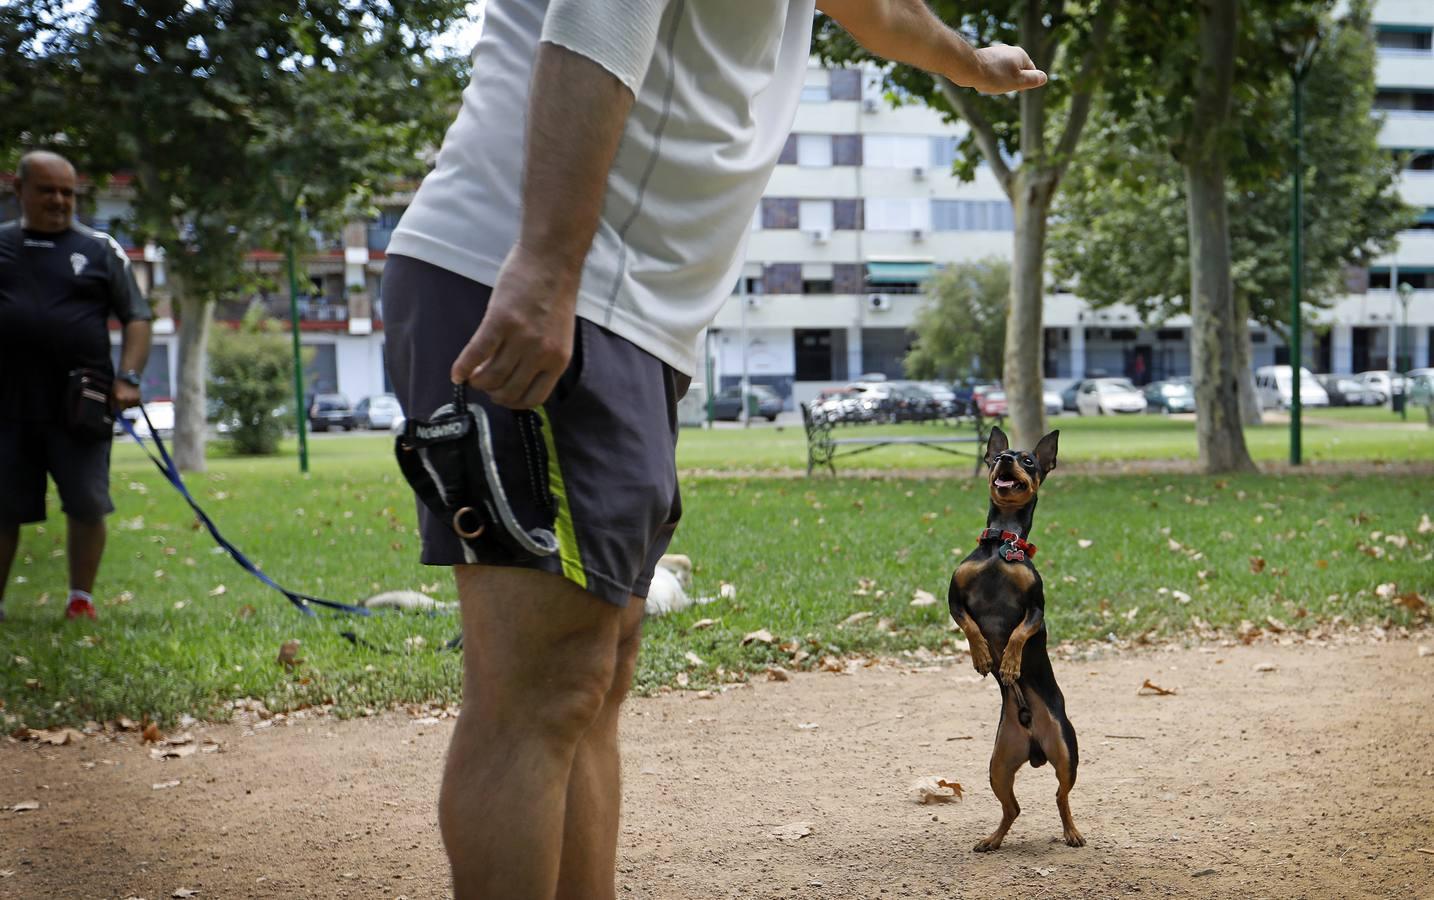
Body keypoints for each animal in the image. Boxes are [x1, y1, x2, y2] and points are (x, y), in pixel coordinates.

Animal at [946, 427, 1078, 848]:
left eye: (1029, 461)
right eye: (998, 457)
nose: (1005, 459)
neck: (1002, 543)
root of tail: (1035, 749)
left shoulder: (1036, 609)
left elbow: (1019, 633)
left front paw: (1008, 664)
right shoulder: (954, 600)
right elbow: (970, 626)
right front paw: (983, 657)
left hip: (1066, 752)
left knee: (1061, 797)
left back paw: (1072, 832)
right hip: (999, 766)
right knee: (1013, 808)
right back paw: (992, 840)